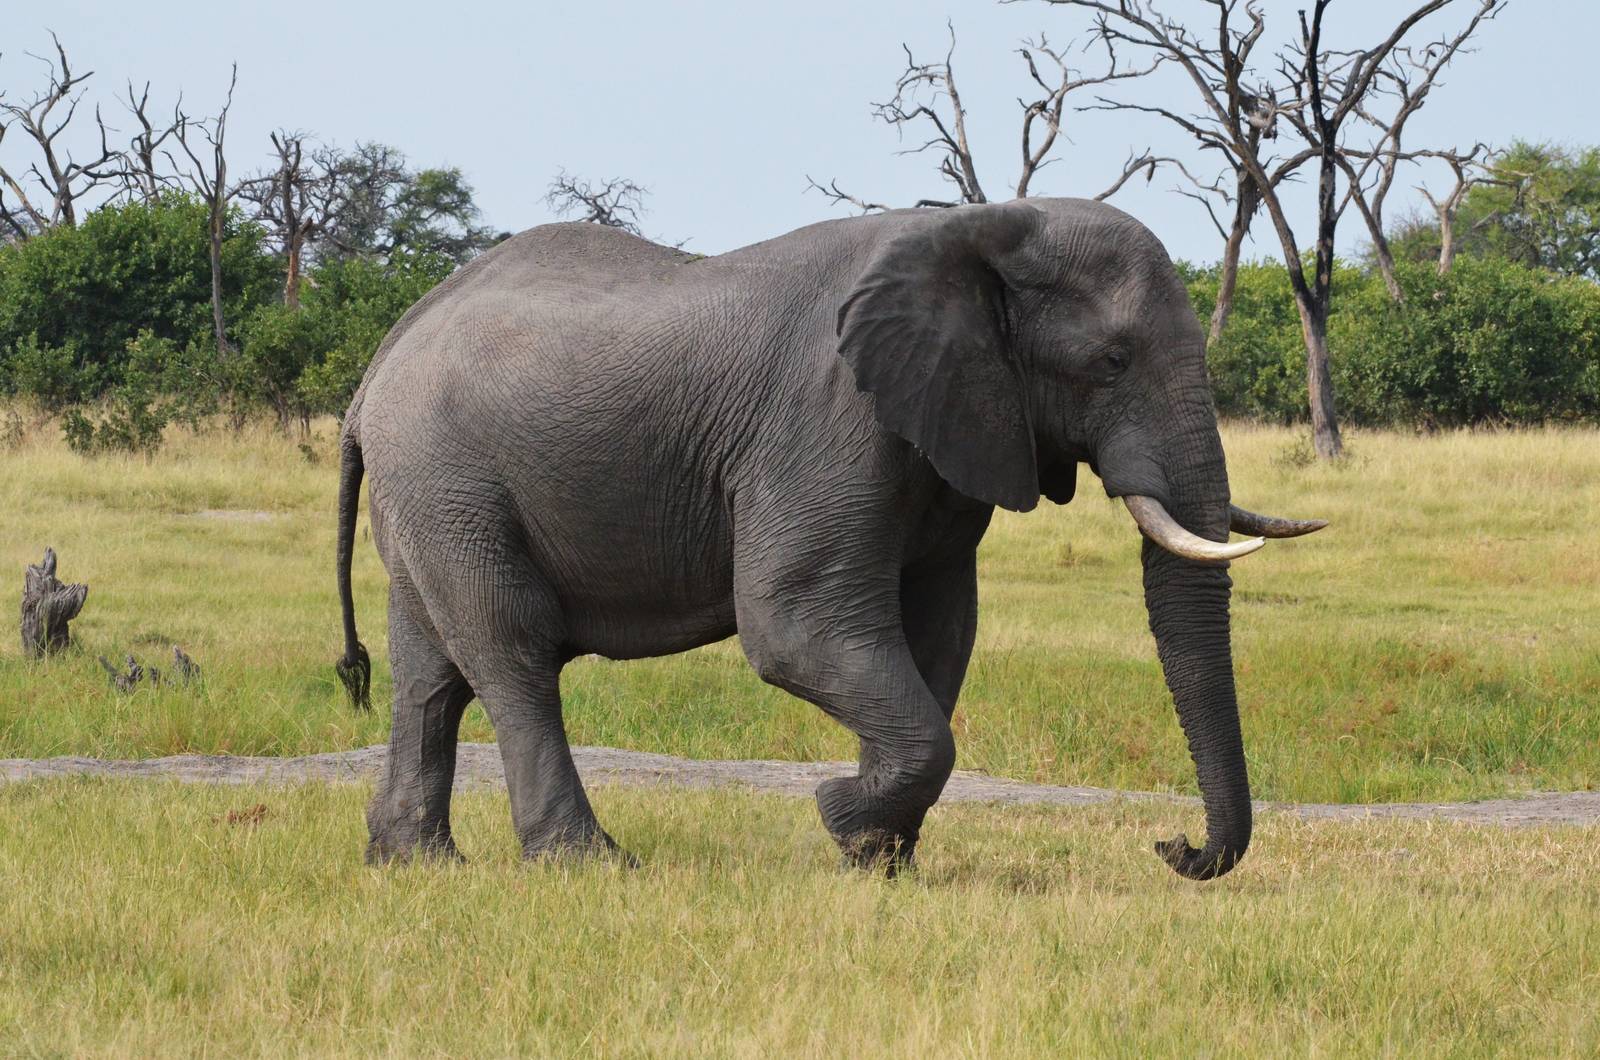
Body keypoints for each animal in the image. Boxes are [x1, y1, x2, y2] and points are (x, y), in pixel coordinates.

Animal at [333, 197, 1324, 880]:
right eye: (1111, 362)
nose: (1172, 845)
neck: (980, 229)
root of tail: (379, 359)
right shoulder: (826, 416)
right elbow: (795, 627)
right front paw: (843, 817)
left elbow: (938, 636)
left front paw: (880, 859)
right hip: (450, 476)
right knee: (511, 651)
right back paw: (589, 865)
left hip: (428, 492)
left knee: (431, 671)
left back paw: (416, 864)